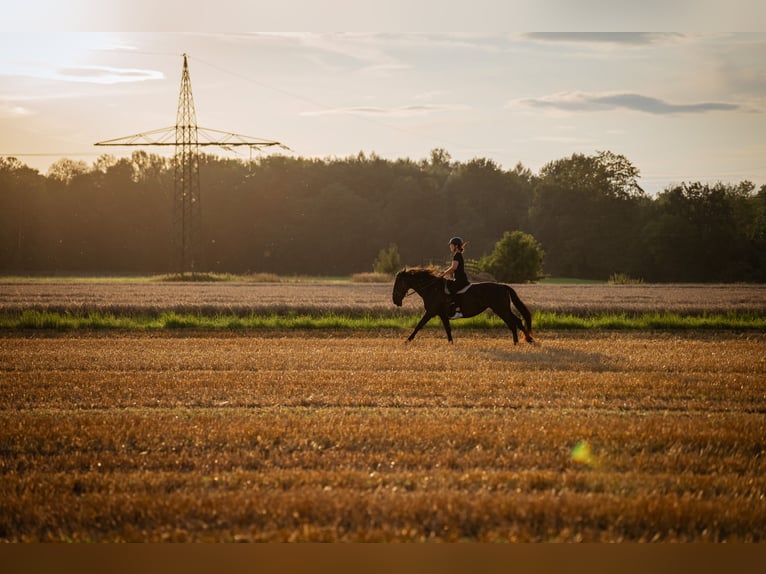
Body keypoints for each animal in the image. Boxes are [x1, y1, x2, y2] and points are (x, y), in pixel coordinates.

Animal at [392, 268, 536, 344]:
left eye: (398, 283)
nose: (395, 300)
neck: (431, 288)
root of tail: (503, 286)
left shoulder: (431, 312)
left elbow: (419, 325)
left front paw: (407, 340)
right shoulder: (442, 314)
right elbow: (448, 329)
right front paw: (451, 343)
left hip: (501, 309)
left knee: (513, 322)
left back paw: (522, 341)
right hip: (502, 309)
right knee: (516, 321)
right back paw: (525, 340)